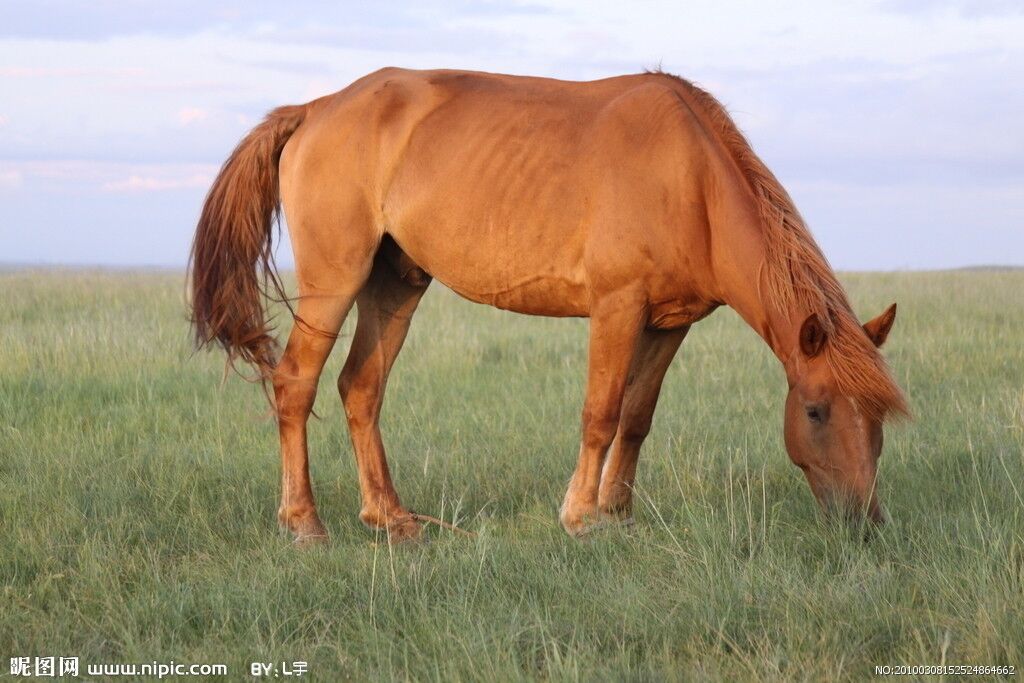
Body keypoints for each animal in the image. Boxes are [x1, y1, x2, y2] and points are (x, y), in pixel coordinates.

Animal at [189, 67, 908, 544]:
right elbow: (601, 413)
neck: (691, 182)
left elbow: (637, 417)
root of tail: (314, 108)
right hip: (335, 280)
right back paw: (305, 524)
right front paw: (581, 516)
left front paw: (619, 514)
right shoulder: (618, 308)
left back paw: (392, 517)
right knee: (295, 384)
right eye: (814, 411)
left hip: (395, 284)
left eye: (879, 419)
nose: (864, 524)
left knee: (360, 387)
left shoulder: (669, 324)